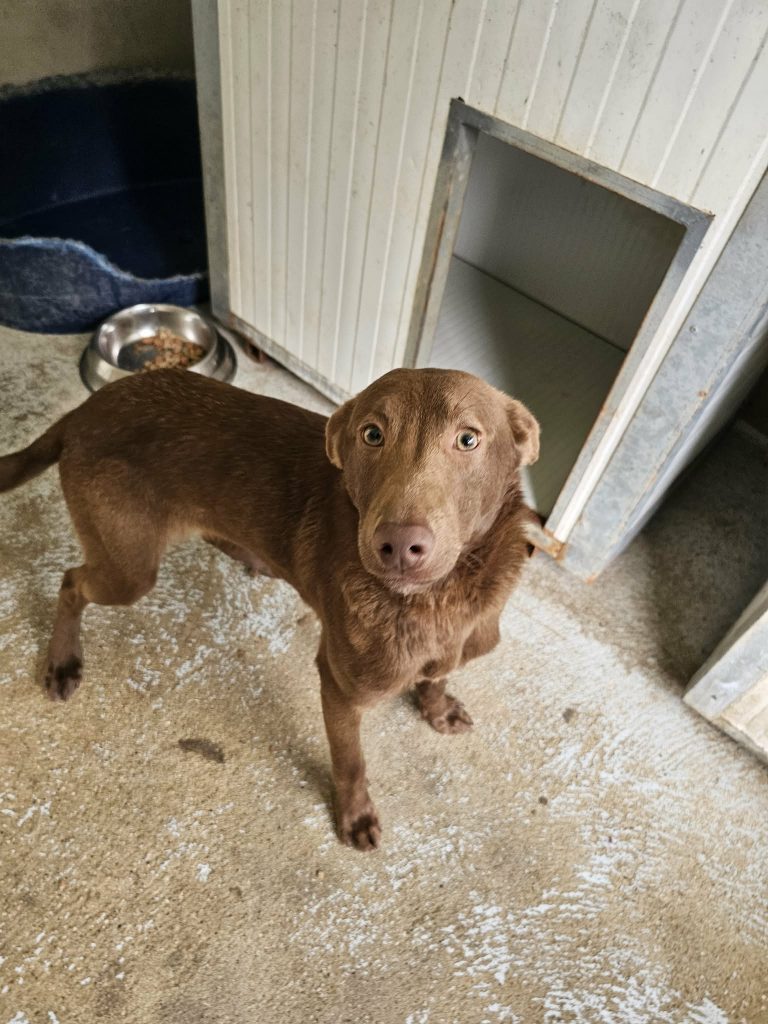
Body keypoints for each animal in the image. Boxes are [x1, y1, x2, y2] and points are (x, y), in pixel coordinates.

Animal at [0, 366, 539, 851]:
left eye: (468, 439)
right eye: (372, 434)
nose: (399, 546)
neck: (444, 597)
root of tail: (85, 410)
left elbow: (438, 676)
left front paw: (437, 707)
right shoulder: (340, 687)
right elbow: (351, 761)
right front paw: (355, 815)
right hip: (129, 569)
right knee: (70, 582)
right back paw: (62, 660)